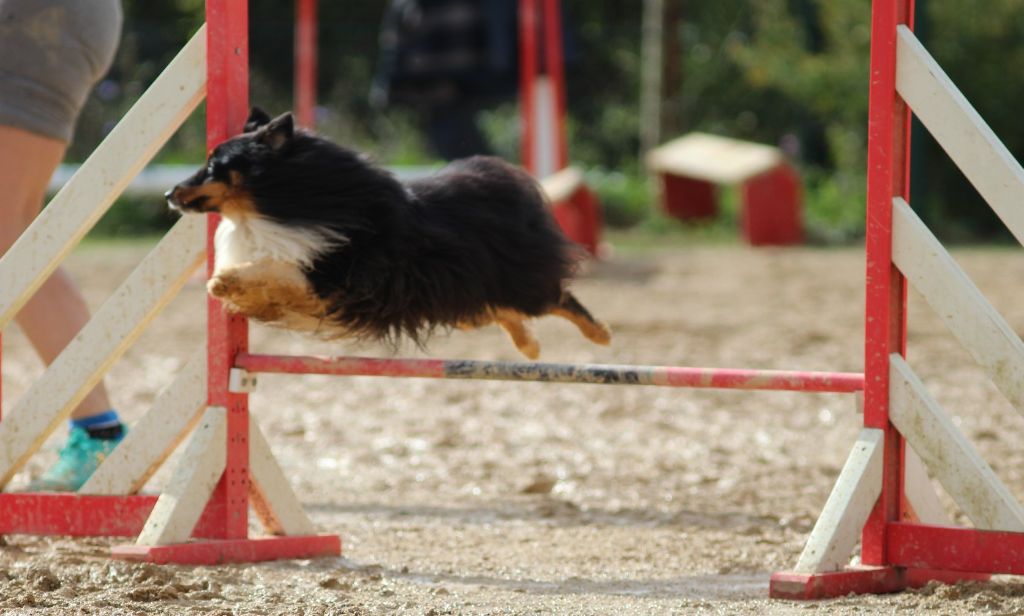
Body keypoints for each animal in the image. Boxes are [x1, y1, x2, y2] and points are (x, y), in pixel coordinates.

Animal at [164, 105, 610, 354]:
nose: (169, 192)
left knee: (558, 297)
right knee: (498, 311)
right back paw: (530, 346)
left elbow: (272, 269)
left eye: (213, 165)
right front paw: (234, 288)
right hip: (457, 293)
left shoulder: (331, 274)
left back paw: (600, 335)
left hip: (512, 282)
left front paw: (224, 281)